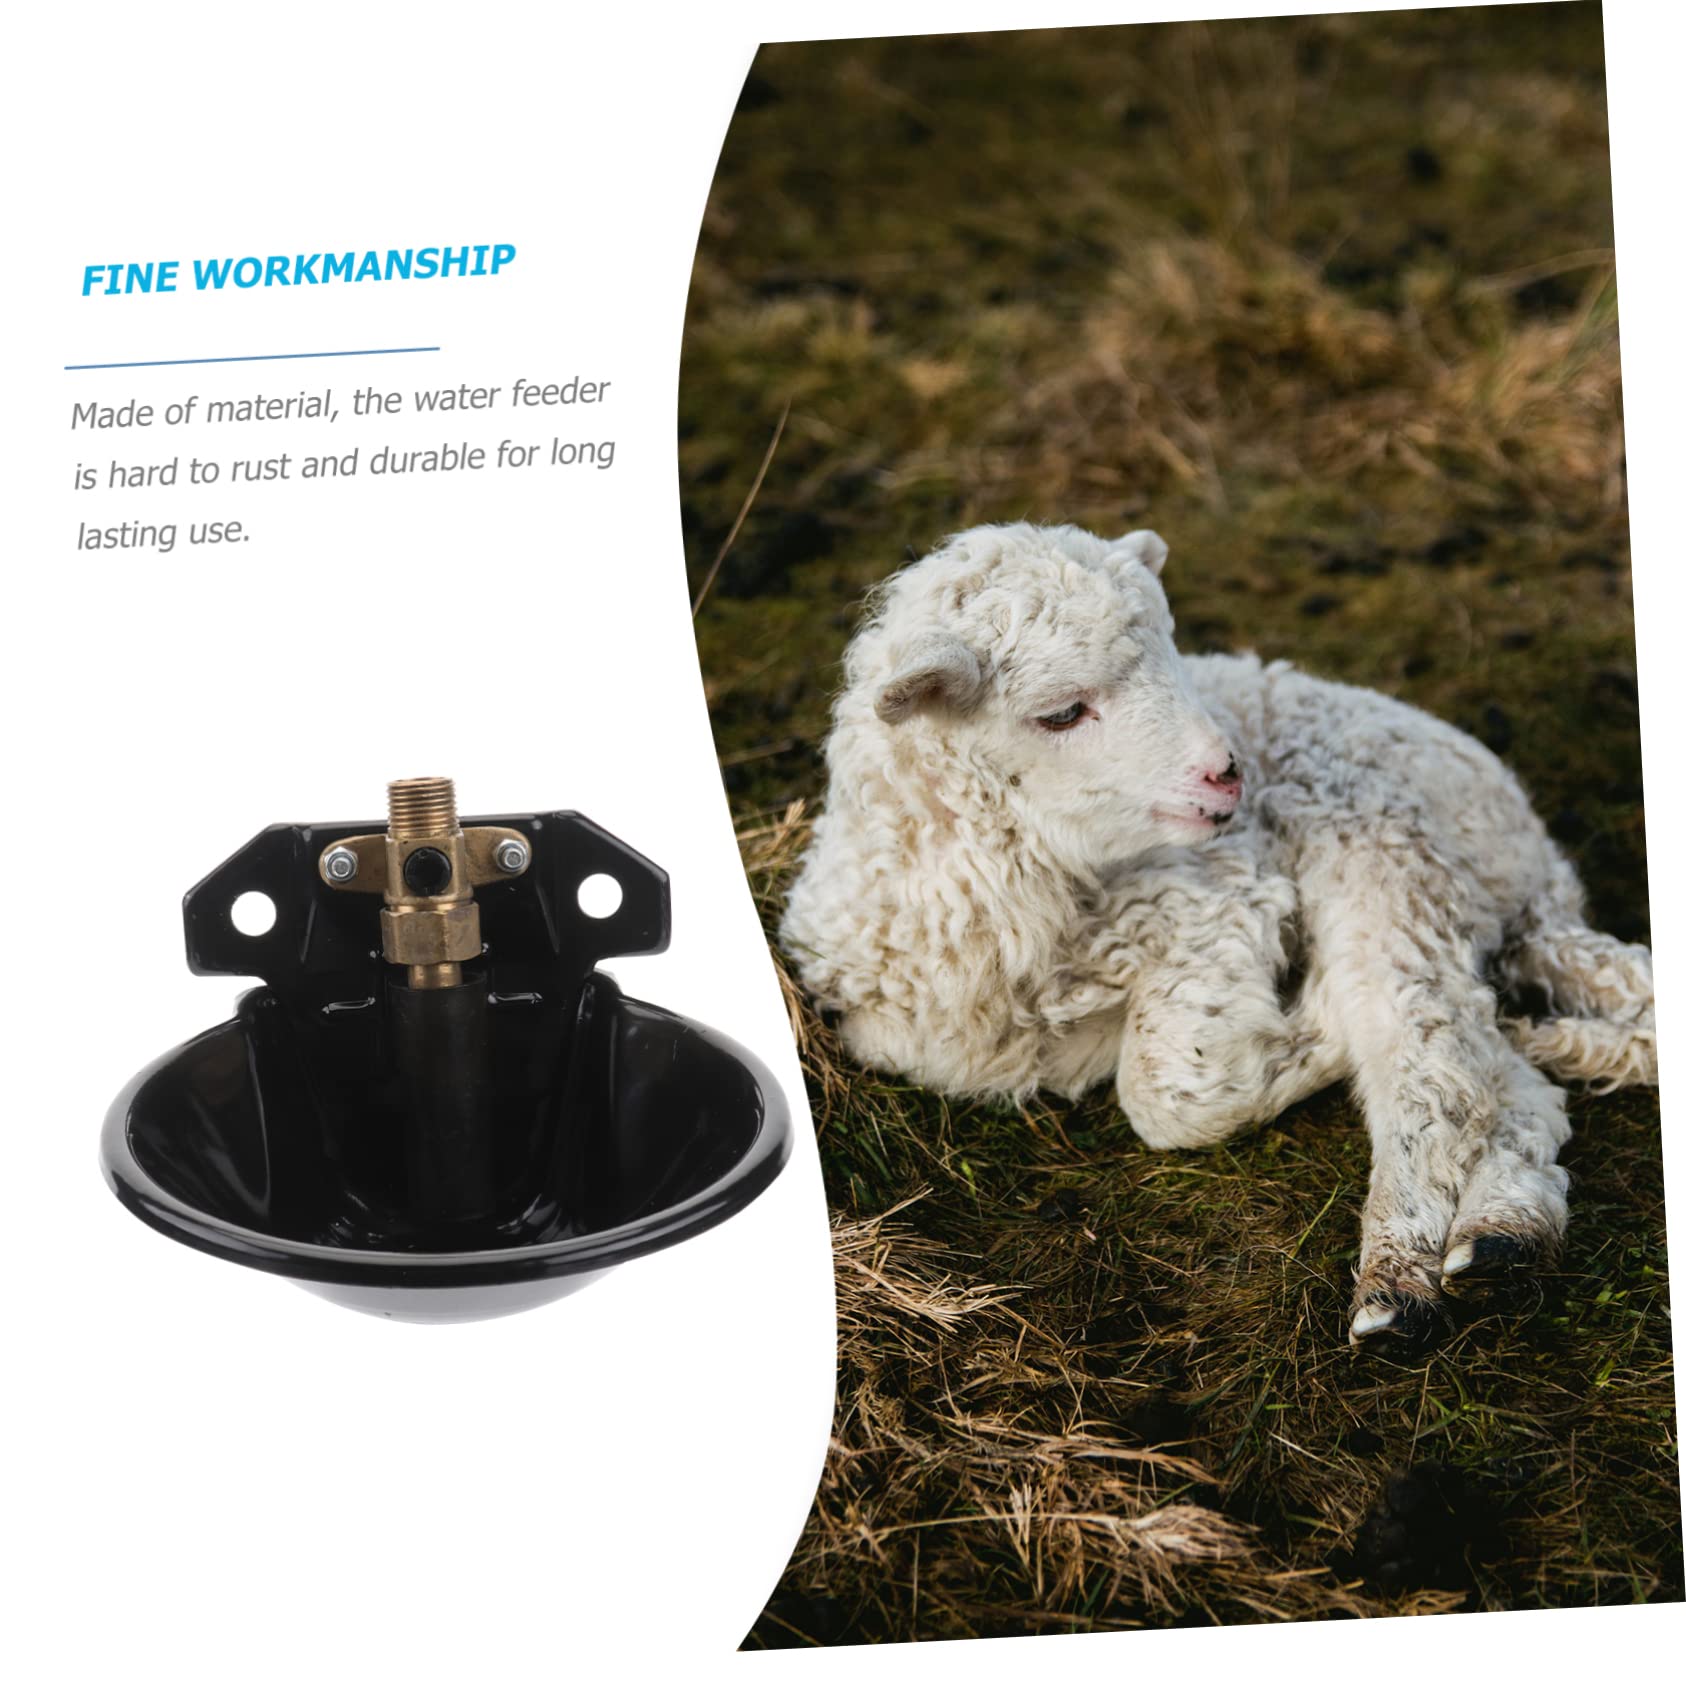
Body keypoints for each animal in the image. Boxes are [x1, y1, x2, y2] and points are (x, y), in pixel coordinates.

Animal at [781, 522, 1656, 1350]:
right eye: (1061, 713)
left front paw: (1311, 1026)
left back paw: (1398, 1285)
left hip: (1382, 838)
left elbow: (1168, 1095)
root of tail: (1535, 875)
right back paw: (1504, 1239)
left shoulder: (1219, 901)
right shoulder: (906, 1036)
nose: (1227, 773)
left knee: (1424, 1052)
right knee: (1505, 1076)